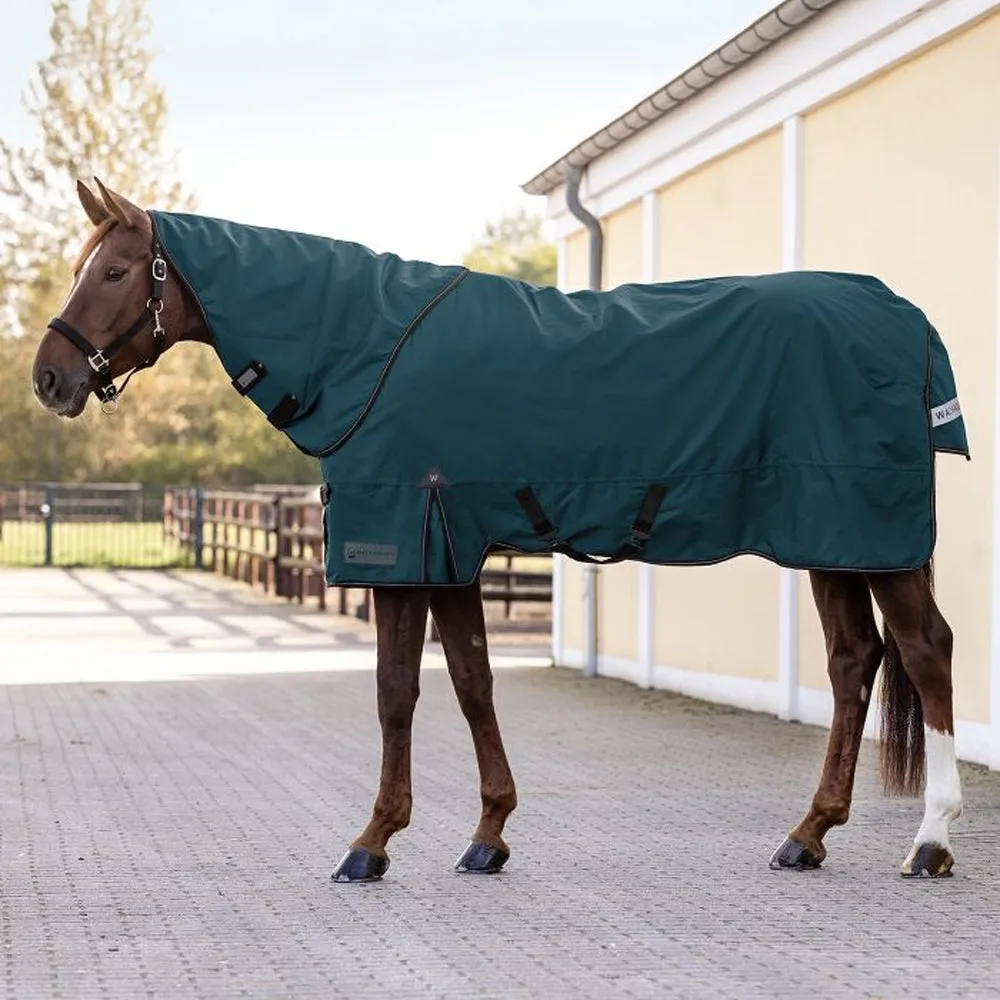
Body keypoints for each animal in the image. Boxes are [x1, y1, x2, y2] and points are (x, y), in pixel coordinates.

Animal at [30, 178, 964, 882]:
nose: (49, 377)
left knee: (925, 652)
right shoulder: (451, 552)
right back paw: (808, 835)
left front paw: (371, 844)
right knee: (853, 664)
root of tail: (907, 319)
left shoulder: (402, 546)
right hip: (833, 540)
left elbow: (395, 694)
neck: (365, 347)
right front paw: (488, 836)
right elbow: (474, 683)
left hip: (873, 538)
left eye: (115, 271)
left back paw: (930, 842)